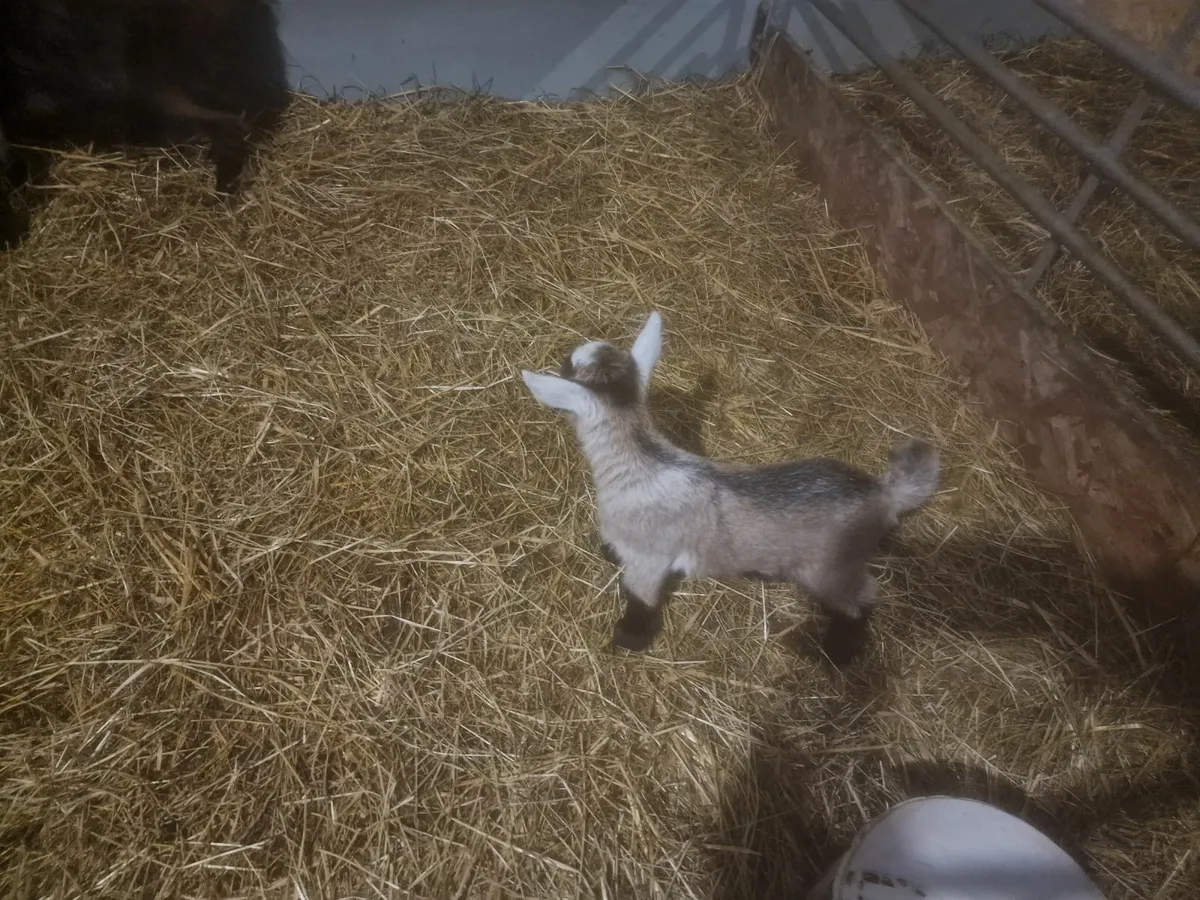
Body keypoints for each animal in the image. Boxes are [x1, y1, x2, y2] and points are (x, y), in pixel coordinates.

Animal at [520, 311, 939, 660]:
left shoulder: (649, 561)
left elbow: (640, 601)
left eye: (567, 366)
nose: (562, 355)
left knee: (863, 598)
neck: (639, 464)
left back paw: (837, 652)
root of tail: (883, 491)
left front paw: (627, 640)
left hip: (832, 568)